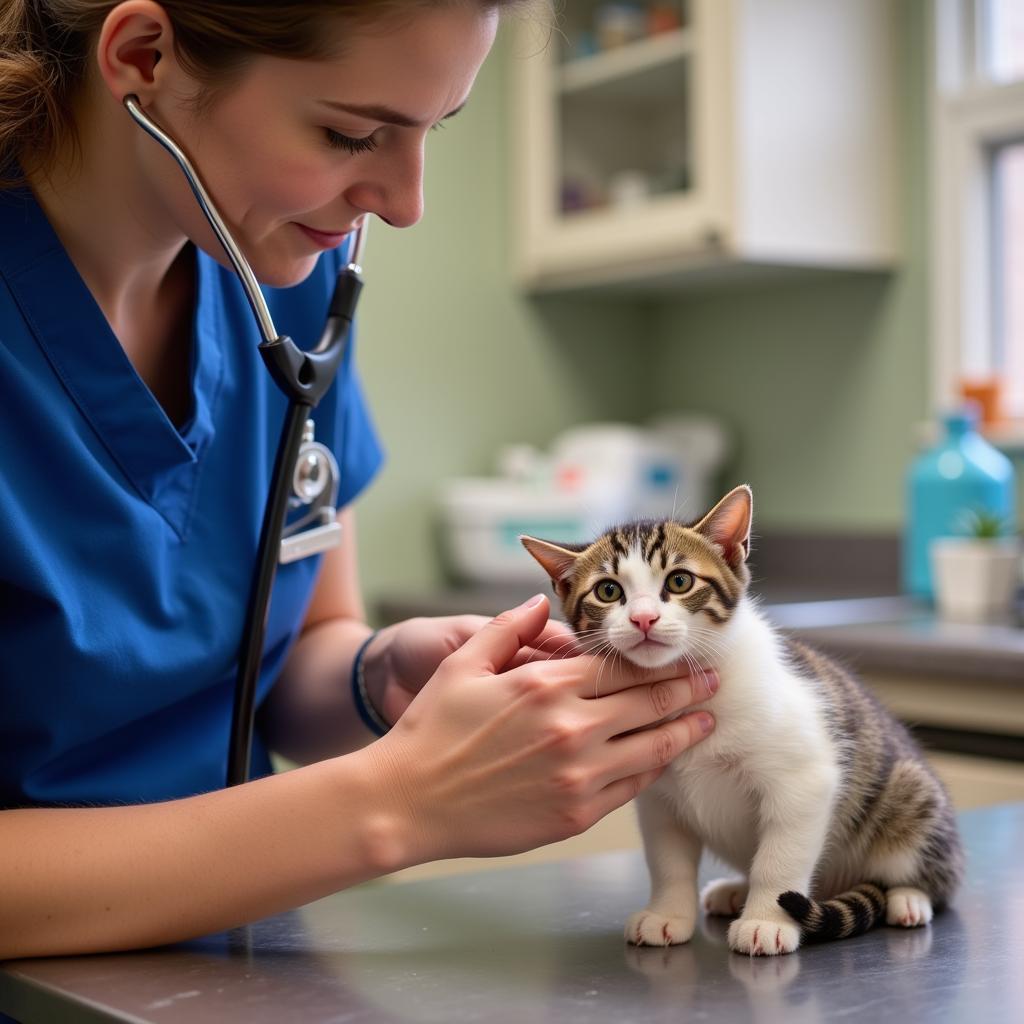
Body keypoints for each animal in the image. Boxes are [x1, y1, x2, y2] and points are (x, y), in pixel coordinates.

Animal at [524, 483, 962, 954]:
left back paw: (908, 898)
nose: (643, 618)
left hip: (910, 795)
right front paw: (667, 914)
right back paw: (735, 890)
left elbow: (779, 859)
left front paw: (766, 921)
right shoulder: (659, 800)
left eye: (680, 581)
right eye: (607, 591)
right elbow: (667, 860)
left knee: (928, 876)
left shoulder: (804, 781)